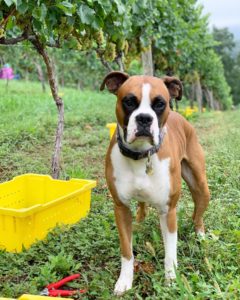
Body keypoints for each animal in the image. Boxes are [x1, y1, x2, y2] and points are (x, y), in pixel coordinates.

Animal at [100, 72, 209, 296]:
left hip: (201, 185)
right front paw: (124, 281)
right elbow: (126, 250)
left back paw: (201, 236)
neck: (141, 155)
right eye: (129, 101)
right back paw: (140, 222)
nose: (144, 118)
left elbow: (170, 252)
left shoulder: (168, 211)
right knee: (142, 206)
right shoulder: (121, 208)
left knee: (198, 213)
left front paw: (171, 280)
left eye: (159, 104)